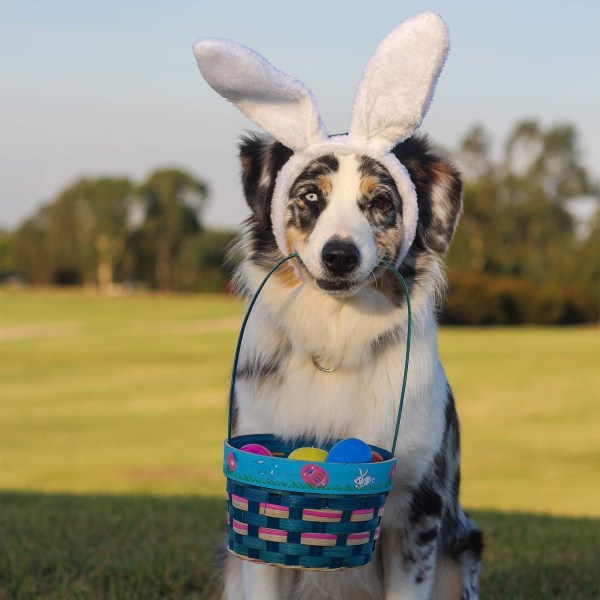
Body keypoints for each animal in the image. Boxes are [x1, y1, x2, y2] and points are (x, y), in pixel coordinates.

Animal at [192, 9, 482, 600]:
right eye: (310, 197)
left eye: (380, 202)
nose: (340, 255)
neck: (336, 338)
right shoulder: (257, 532)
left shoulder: (420, 510)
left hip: (459, 553)